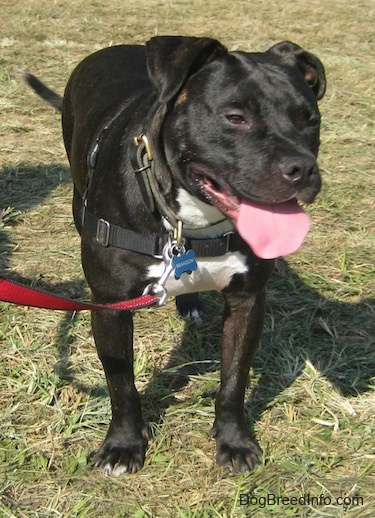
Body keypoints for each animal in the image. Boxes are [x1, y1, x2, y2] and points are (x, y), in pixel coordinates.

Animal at [23, 35, 326, 476]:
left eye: (310, 120)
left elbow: (234, 380)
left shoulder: (248, 302)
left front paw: (234, 440)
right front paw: (123, 444)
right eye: (235, 117)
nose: (303, 169)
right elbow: (122, 385)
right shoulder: (110, 308)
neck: (190, 223)